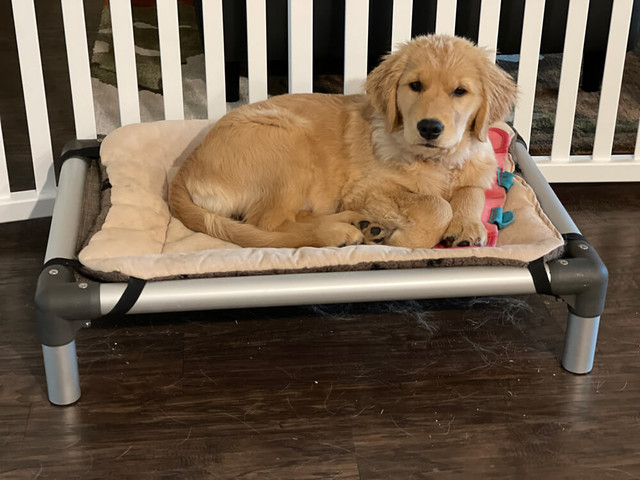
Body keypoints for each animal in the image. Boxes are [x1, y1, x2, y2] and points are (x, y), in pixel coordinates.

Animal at [169, 34, 516, 248]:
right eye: (415, 85)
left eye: (460, 91)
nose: (429, 128)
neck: (437, 160)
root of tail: (185, 167)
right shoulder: (366, 190)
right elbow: (436, 203)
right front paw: (408, 240)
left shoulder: (476, 168)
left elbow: (472, 192)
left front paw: (467, 227)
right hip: (289, 141)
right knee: (268, 225)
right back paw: (340, 232)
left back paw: (362, 224)